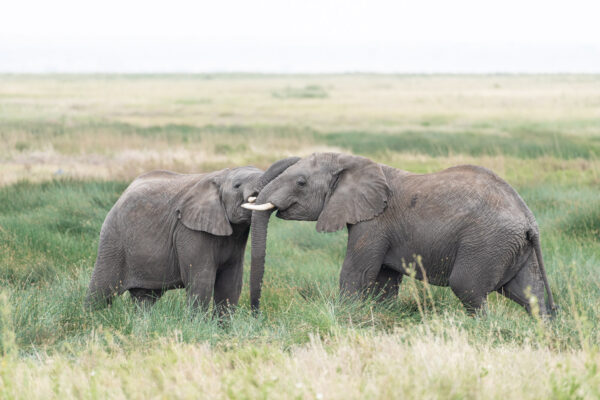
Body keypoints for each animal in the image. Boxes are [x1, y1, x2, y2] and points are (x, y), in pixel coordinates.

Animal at [84, 158, 300, 314]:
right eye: (237, 186)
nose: (256, 314)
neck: (221, 177)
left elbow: (231, 283)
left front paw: (224, 331)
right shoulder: (189, 230)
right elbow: (201, 281)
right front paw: (199, 327)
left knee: (145, 297)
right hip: (113, 240)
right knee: (101, 291)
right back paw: (90, 320)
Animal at [243, 152, 556, 318]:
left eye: (300, 182)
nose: (256, 313)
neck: (355, 162)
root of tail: (529, 219)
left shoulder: (374, 222)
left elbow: (356, 273)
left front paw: (346, 318)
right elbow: (385, 281)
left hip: (487, 242)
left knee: (467, 286)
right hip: (513, 246)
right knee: (530, 294)